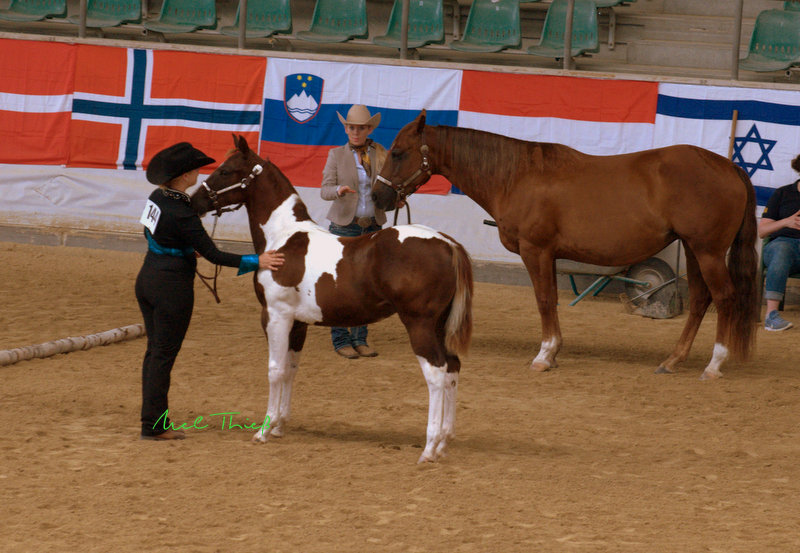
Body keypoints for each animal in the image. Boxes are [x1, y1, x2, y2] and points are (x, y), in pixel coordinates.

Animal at [191, 135, 472, 462]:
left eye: (226, 170)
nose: (194, 202)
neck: (283, 239)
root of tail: (447, 243)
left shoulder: (275, 316)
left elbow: (275, 370)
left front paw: (263, 431)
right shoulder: (298, 323)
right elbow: (290, 369)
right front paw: (279, 425)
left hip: (420, 326)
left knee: (437, 375)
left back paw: (429, 448)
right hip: (440, 326)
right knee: (452, 367)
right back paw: (444, 442)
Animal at [372, 111, 760, 380]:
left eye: (398, 152)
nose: (378, 196)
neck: (516, 177)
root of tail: (729, 167)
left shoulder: (536, 250)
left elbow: (544, 300)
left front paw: (544, 356)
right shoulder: (550, 255)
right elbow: (553, 300)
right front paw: (554, 352)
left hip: (708, 251)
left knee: (725, 298)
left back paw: (713, 365)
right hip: (695, 250)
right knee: (700, 300)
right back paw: (673, 359)